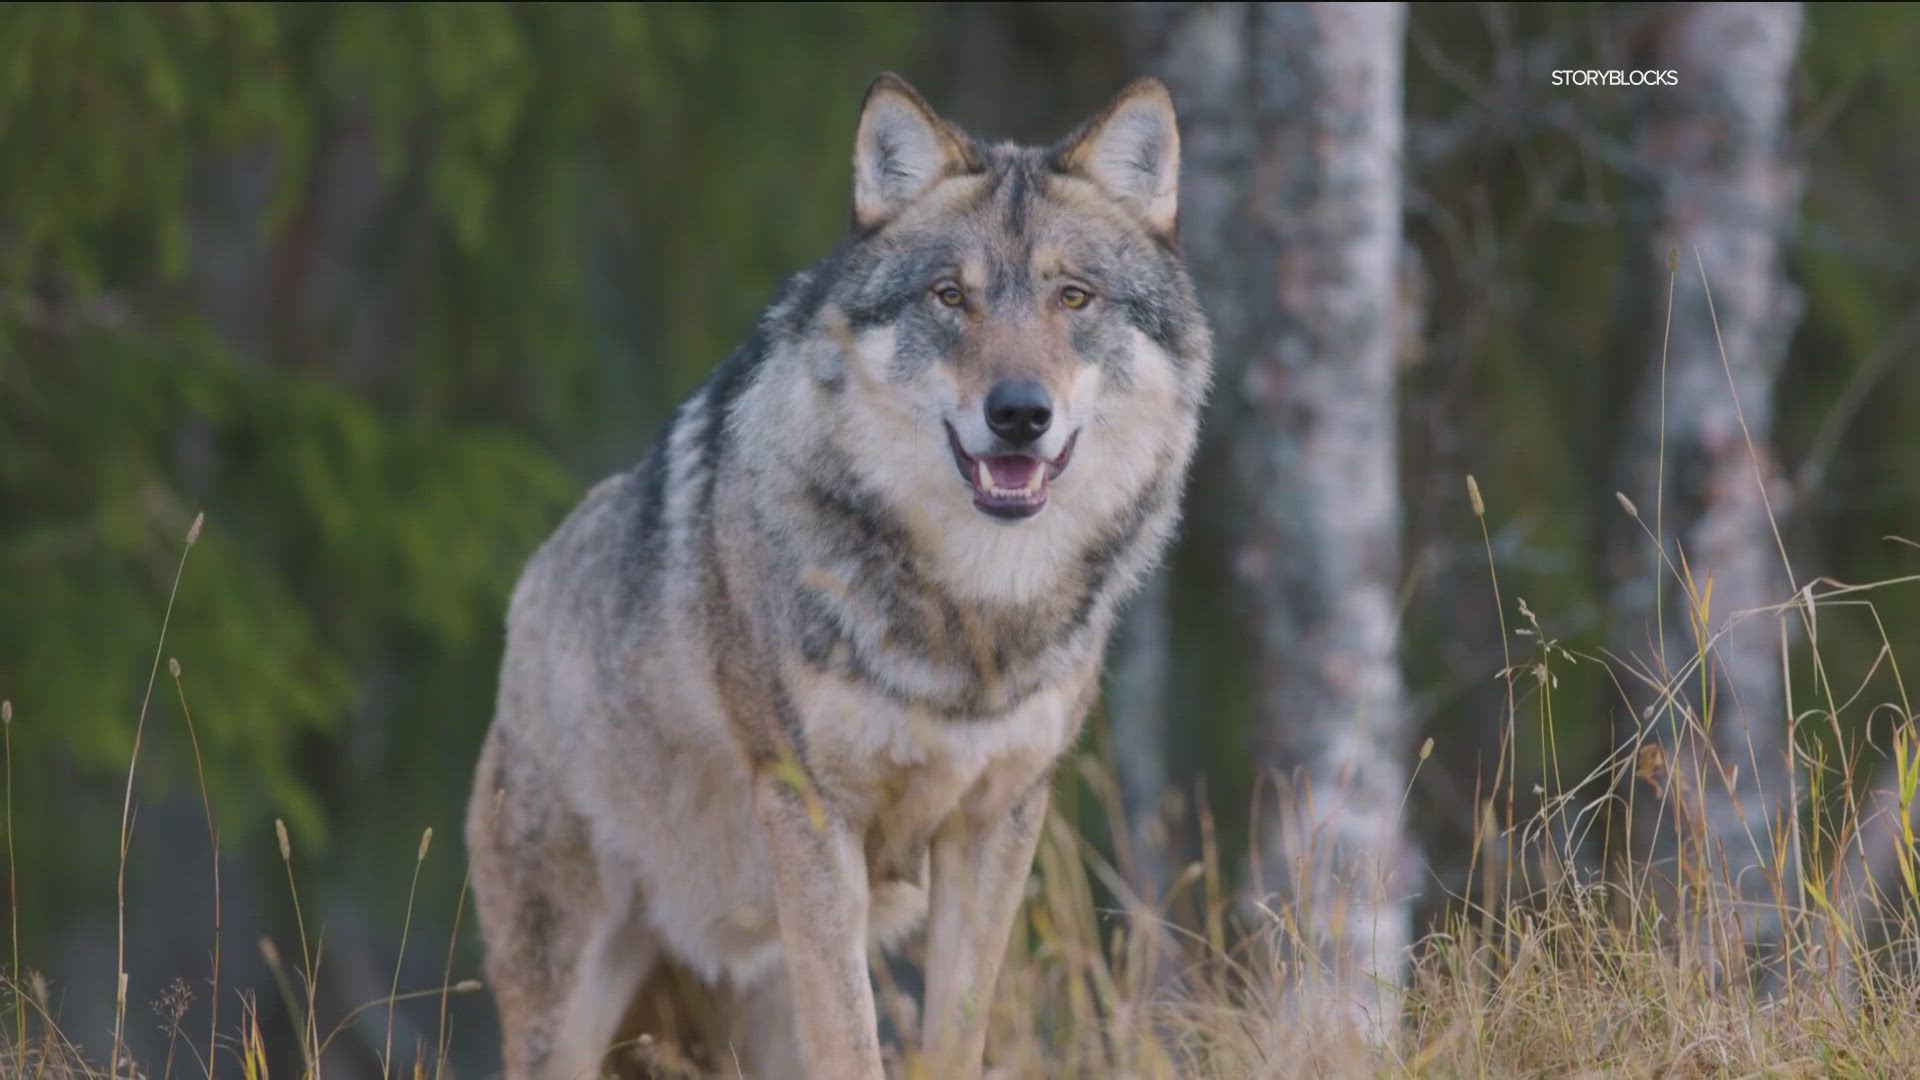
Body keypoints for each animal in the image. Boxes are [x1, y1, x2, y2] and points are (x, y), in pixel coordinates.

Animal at [464, 71, 1205, 1068]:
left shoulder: (996, 821)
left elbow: (955, 1041)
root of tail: (532, 589)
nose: (1019, 414)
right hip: (571, 1001)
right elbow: (851, 1043)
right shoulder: (813, 812)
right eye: (949, 297)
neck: (968, 616)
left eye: (1074, 297)